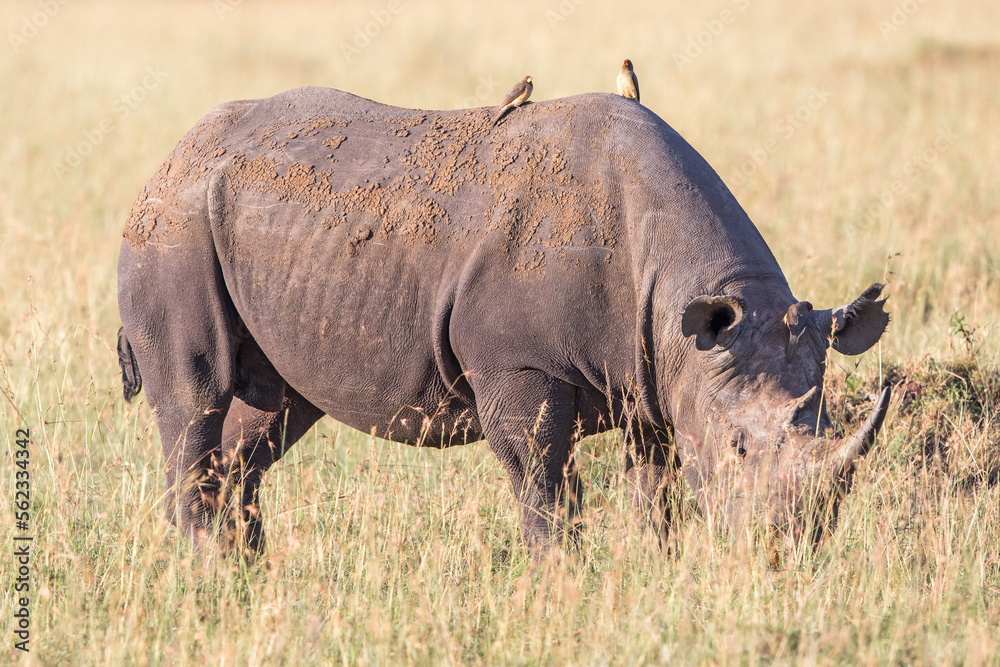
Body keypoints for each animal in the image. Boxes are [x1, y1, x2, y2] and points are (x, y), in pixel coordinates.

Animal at [116, 87, 891, 559]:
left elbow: (656, 488)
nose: (787, 547)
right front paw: (564, 583)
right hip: (173, 225)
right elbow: (543, 480)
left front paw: (655, 568)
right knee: (194, 399)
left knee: (266, 418)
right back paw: (208, 576)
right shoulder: (521, 366)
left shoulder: (661, 376)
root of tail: (169, 156)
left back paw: (245, 574)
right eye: (737, 447)